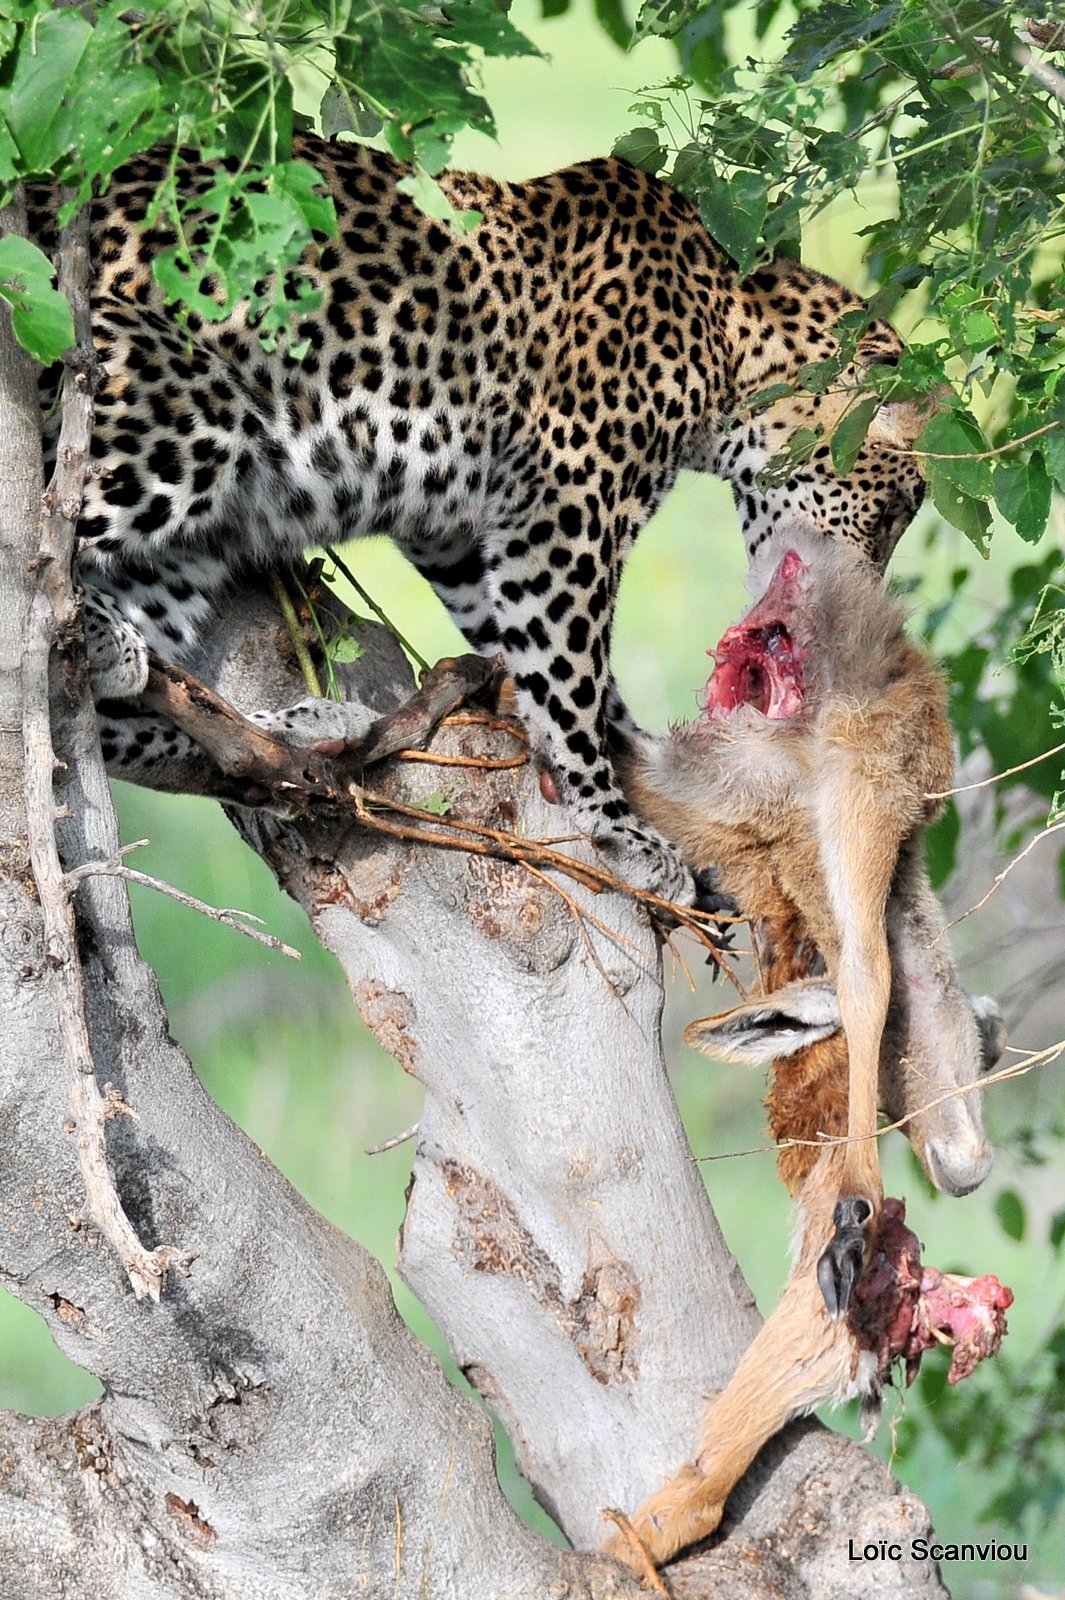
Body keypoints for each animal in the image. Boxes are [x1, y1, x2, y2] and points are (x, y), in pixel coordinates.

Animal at [33, 131, 927, 908]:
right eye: (894, 510)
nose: (862, 585)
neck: (731, 346)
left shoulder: (464, 531)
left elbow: (544, 663)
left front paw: (648, 776)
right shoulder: (568, 507)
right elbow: (571, 683)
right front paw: (623, 833)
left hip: (182, 554)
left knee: (117, 715)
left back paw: (303, 727)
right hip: (177, 405)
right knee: (47, 553)